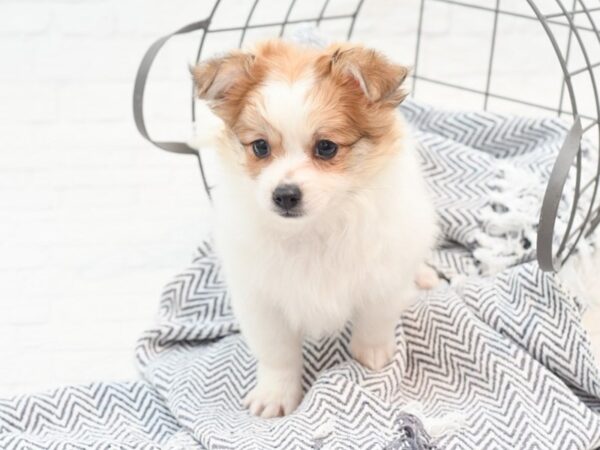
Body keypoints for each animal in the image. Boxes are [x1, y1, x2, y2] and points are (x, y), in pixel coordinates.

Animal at [193, 39, 436, 418]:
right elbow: (277, 354)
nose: (285, 194)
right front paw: (275, 395)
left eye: (326, 147)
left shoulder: (383, 278)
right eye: (260, 146)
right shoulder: (261, 299)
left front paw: (372, 356)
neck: (313, 229)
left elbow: (375, 322)